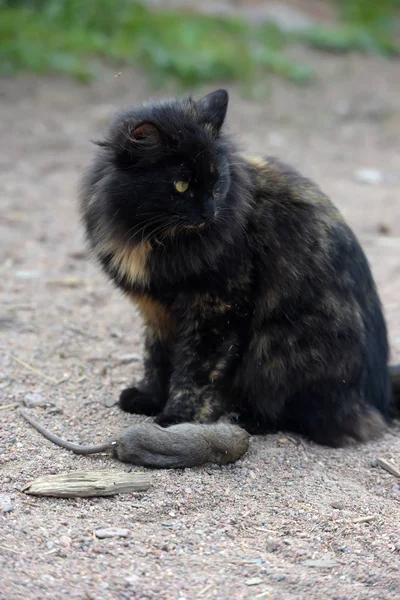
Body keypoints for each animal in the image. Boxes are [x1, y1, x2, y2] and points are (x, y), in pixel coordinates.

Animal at [79, 89, 400, 458]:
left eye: (217, 180)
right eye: (181, 185)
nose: (209, 212)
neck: (152, 237)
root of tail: (378, 398)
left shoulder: (217, 308)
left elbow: (195, 373)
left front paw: (176, 417)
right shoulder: (157, 309)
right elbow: (157, 357)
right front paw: (148, 397)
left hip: (276, 343)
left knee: (287, 412)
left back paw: (243, 417)